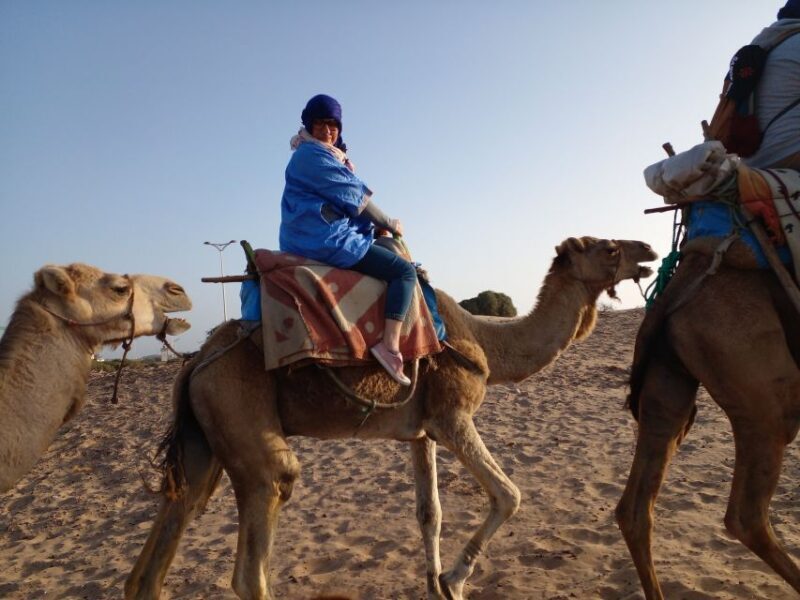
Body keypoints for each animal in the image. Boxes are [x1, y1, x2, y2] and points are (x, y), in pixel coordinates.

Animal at [125, 236, 657, 600]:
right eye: (609, 247)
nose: (648, 249)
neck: (487, 342)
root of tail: (195, 361)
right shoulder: (452, 414)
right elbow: (509, 494)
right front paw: (455, 579)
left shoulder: (421, 431)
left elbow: (430, 514)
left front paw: (438, 585)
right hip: (239, 413)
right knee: (255, 553)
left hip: (204, 439)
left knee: (161, 543)